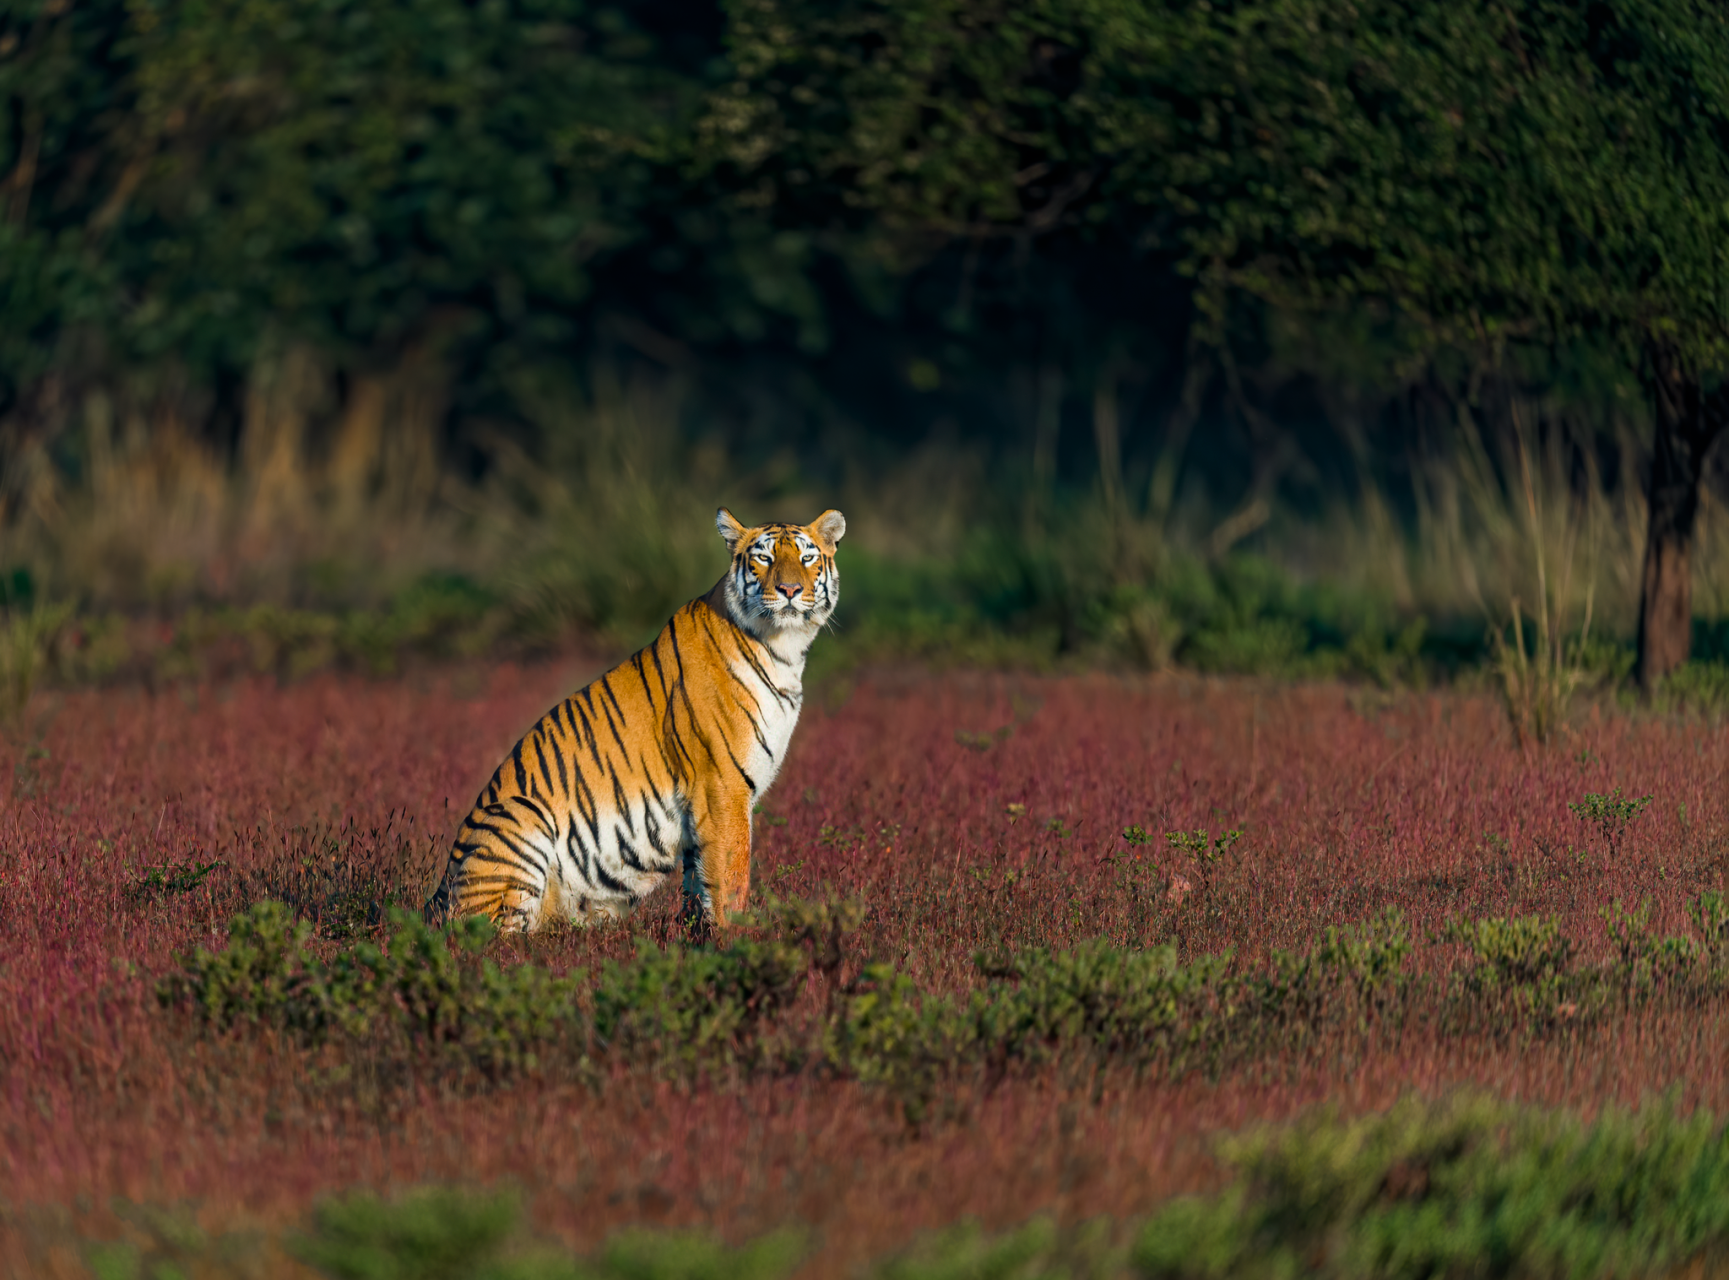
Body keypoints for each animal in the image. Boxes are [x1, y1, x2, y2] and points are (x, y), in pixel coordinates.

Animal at [425, 505, 843, 934]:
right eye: (764, 558)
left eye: (807, 558)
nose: (790, 590)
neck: (785, 651)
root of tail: (435, 898)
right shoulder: (724, 787)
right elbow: (731, 877)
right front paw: (737, 938)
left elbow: (698, 882)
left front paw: (696, 935)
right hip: (520, 814)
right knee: (490, 934)